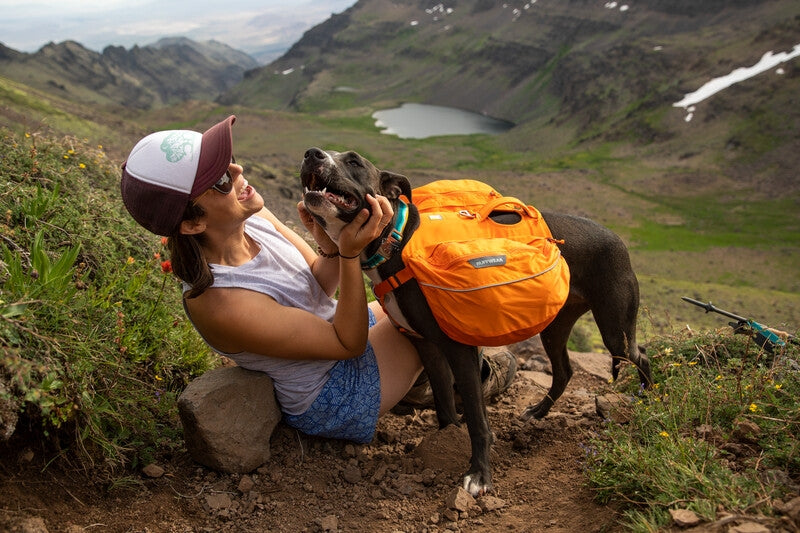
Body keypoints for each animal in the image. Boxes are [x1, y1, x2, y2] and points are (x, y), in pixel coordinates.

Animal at [298, 147, 648, 494]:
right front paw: (447, 438)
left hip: (614, 327)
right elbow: (443, 401)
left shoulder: (459, 348)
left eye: (353, 161)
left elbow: (478, 421)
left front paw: (479, 475)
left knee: (640, 356)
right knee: (564, 371)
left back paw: (645, 404)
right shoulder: (427, 346)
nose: (311, 154)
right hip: (556, 326)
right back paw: (538, 412)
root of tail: (618, 239)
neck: (396, 242)